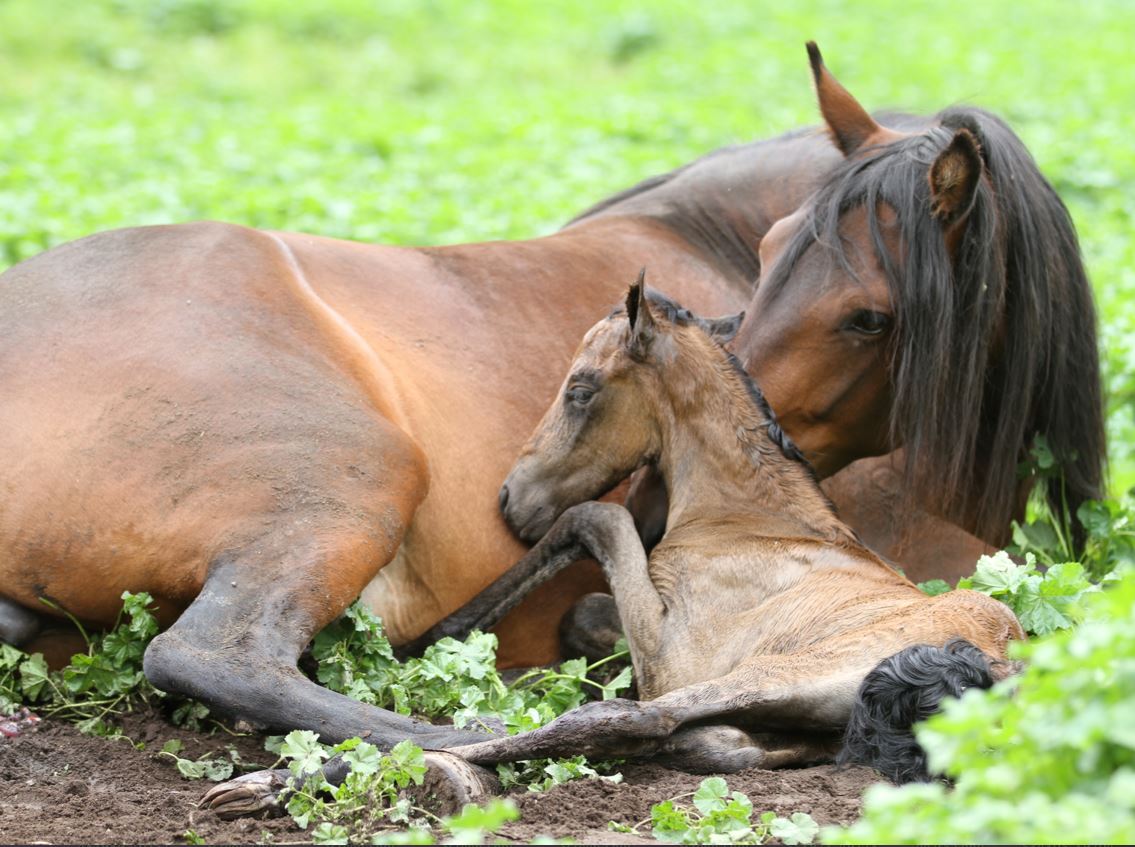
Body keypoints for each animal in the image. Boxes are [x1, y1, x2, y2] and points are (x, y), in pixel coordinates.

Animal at [0, 45, 1098, 752]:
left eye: (867, 316)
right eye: (774, 248)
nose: (658, 496)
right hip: (357, 478)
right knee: (213, 651)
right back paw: (465, 739)